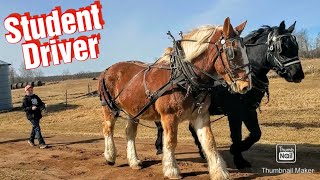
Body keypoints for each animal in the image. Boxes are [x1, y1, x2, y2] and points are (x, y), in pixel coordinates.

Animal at [97, 17, 250, 180]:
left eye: (246, 50)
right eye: (233, 52)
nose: (246, 86)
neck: (184, 76)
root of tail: (107, 70)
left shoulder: (200, 115)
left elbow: (209, 142)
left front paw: (219, 172)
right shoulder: (168, 116)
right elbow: (170, 141)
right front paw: (172, 170)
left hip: (134, 111)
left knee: (130, 132)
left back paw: (134, 161)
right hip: (109, 107)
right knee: (108, 128)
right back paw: (110, 156)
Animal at [155, 21, 304, 169]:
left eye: (295, 46)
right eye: (281, 48)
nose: (298, 74)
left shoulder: (249, 110)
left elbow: (256, 134)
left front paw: (238, 152)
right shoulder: (235, 112)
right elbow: (236, 135)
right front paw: (237, 156)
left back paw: (202, 152)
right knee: (161, 126)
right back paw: (159, 147)